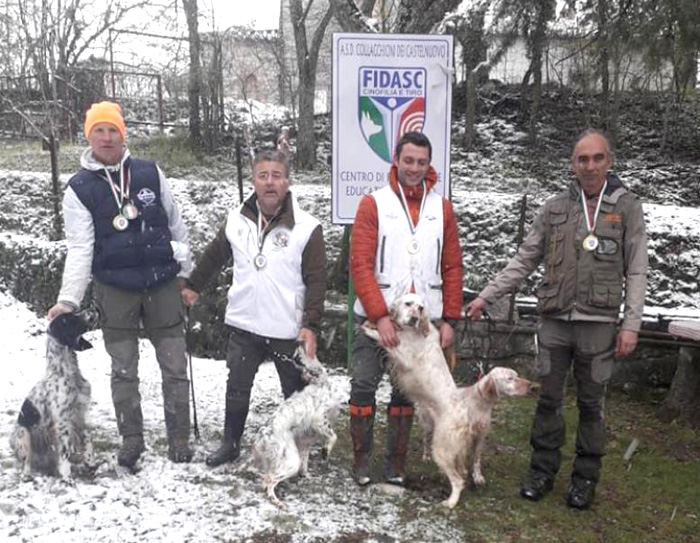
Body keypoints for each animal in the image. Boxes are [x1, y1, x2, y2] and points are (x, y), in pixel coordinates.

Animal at [9, 312, 95, 482]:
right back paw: (27, 474)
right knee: (26, 461)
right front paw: (67, 477)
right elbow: (65, 451)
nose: (91, 313)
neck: (67, 372)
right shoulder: (63, 421)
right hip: (23, 433)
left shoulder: (79, 414)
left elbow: (87, 439)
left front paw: (90, 461)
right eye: (69, 319)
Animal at [252, 348, 340, 506]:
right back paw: (276, 501)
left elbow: (305, 462)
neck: (320, 383)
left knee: (266, 479)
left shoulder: (305, 440)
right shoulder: (319, 419)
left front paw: (306, 475)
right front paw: (326, 451)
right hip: (291, 460)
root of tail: (263, 435)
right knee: (270, 480)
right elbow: (334, 436)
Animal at [364, 294, 528, 510]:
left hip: (441, 449)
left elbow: (386, 341)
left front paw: (368, 330)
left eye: (421, 308)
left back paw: (449, 502)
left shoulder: (405, 358)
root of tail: (465, 417)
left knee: (458, 480)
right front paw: (371, 323)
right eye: (408, 304)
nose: (414, 318)